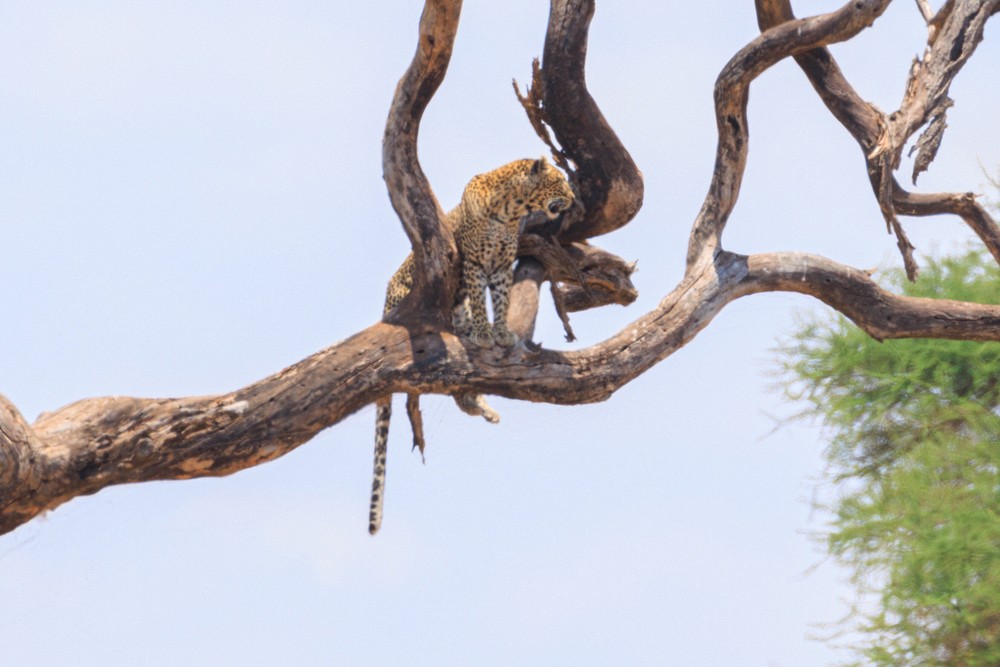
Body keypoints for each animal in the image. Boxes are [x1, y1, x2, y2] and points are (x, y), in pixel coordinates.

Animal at [368, 156, 575, 535]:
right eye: (559, 182)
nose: (573, 199)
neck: (511, 210)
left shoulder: (502, 266)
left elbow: (502, 301)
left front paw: (502, 332)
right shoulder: (475, 265)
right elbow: (480, 301)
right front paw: (484, 333)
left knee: (459, 384)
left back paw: (484, 408)